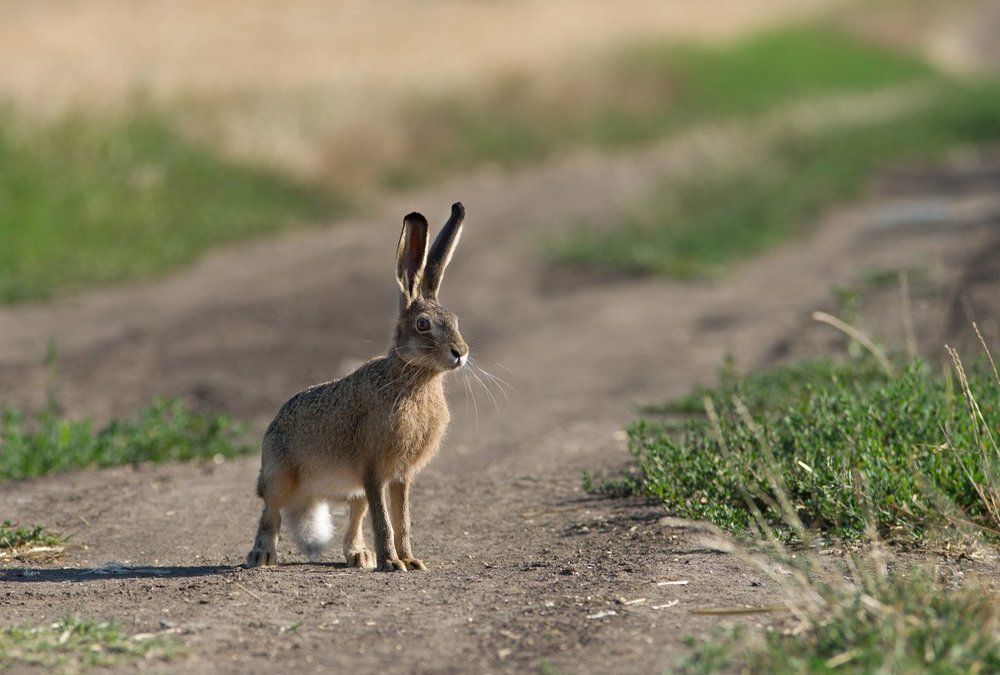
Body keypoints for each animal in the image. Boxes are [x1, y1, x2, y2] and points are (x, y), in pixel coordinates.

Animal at [246, 202, 469, 572]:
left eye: (454, 321)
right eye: (423, 325)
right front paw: (392, 563)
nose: (460, 353)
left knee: (354, 517)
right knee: (271, 511)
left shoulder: (400, 476)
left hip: (353, 490)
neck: (413, 377)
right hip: (278, 475)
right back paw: (262, 555)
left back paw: (359, 556)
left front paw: (410, 561)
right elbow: (385, 521)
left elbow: (402, 520)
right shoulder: (374, 469)